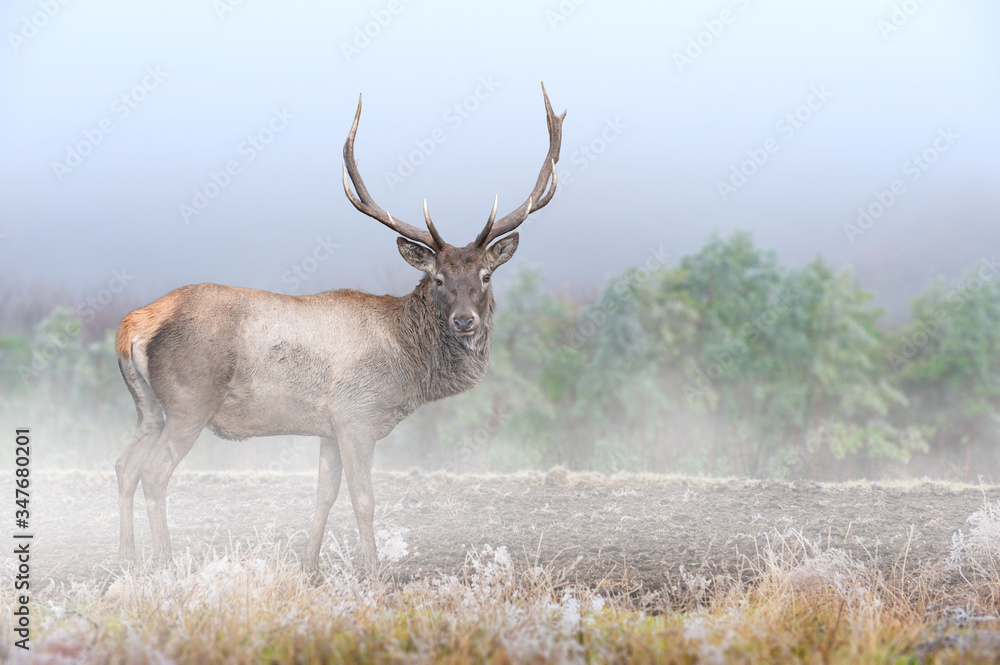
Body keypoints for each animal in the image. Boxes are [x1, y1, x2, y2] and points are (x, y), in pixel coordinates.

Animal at [114, 81, 568, 572]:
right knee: (154, 473)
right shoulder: (356, 415)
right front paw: (372, 570)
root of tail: (132, 326)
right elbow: (363, 499)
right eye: (438, 279)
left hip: (148, 407)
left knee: (124, 465)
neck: (409, 367)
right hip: (189, 400)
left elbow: (324, 496)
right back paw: (164, 562)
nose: (464, 320)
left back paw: (124, 556)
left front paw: (309, 566)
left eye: (485, 275)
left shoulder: (328, 427)